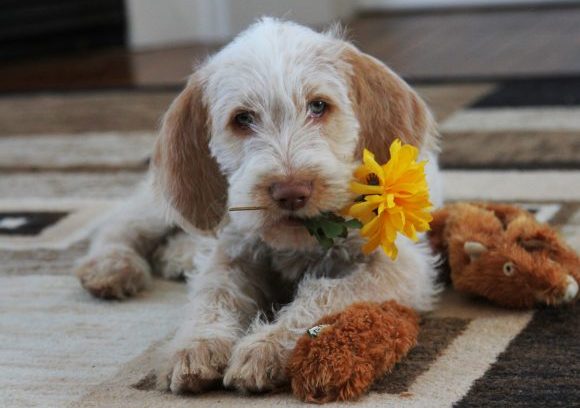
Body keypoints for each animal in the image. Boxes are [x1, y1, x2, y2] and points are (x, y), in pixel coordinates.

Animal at [75, 19, 442, 396]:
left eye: (318, 106)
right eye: (243, 119)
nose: (291, 192)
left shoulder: (398, 267)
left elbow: (327, 293)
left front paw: (266, 346)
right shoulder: (231, 250)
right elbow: (214, 293)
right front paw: (196, 345)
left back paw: (175, 255)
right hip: (163, 201)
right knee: (120, 222)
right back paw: (111, 266)